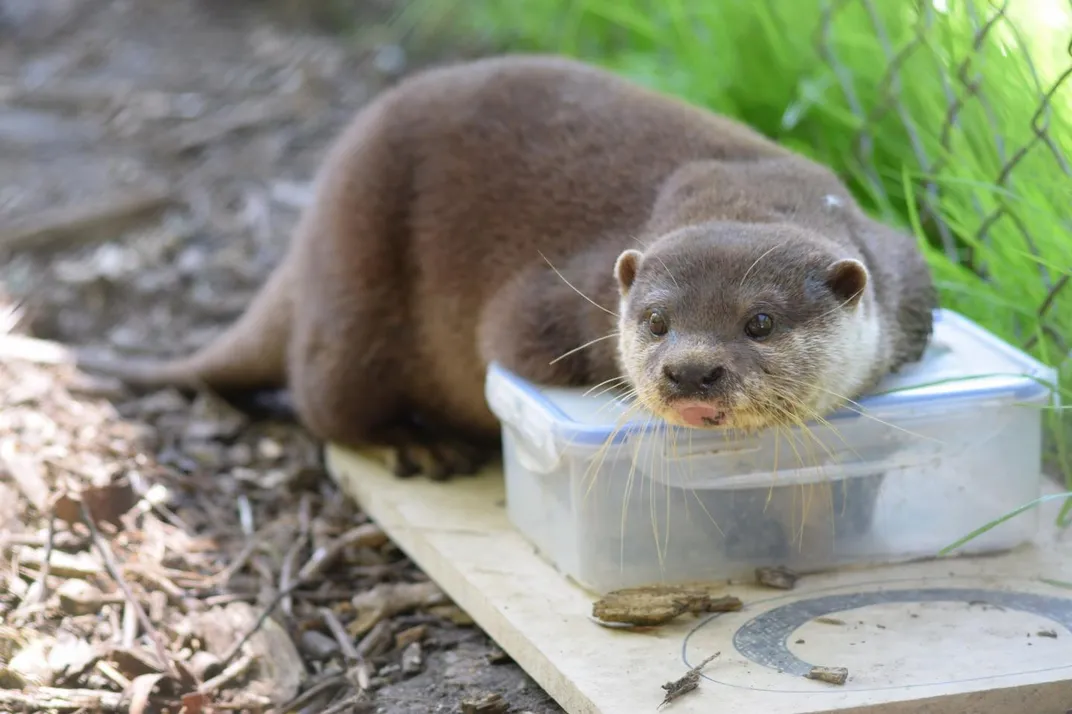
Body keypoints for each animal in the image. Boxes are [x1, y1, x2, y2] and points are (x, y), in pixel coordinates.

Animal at [79, 54, 939, 478]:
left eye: (759, 322)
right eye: (655, 321)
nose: (690, 372)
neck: (743, 188)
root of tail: (309, 233)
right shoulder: (548, 304)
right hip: (354, 281)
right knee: (323, 401)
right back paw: (413, 445)